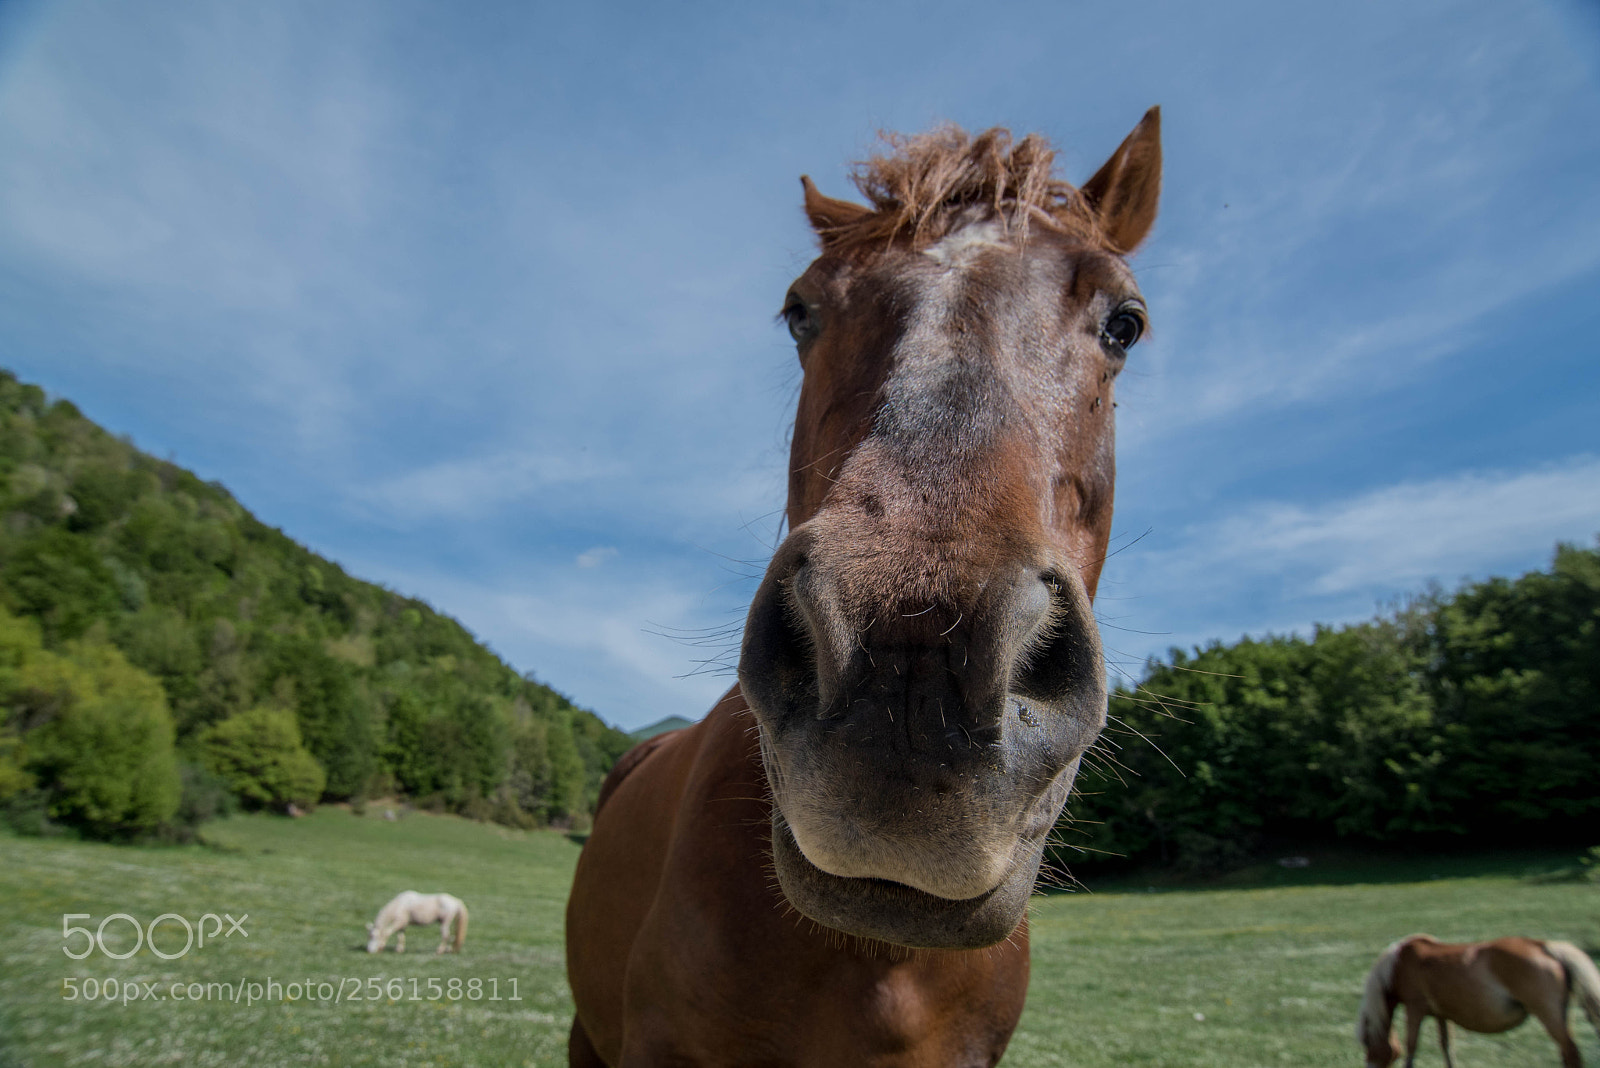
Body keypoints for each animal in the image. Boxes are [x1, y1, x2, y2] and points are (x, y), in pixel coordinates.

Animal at [1357, 934, 1600, 1067]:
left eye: (1367, 1043)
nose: (1368, 1066)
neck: (1398, 965)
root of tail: (1543, 946)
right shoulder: (1441, 1015)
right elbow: (1447, 1047)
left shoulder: (1414, 1009)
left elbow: (1411, 1048)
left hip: (1549, 1016)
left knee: (1571, 1052)